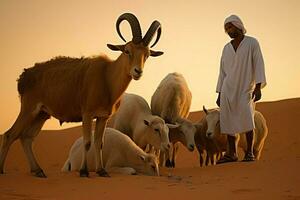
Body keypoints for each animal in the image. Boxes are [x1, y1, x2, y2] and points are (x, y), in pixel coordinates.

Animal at [0, 12, 164, 178]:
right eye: (127, 50)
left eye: (147, 55)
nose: (138, 72)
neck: (106, 76)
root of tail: (24, 76)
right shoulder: (87, 114)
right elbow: (87, 142)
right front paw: (84, 171)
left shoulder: (102, 117)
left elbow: (99, 143)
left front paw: (101, 171)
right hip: (29, 110)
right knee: (9, 135)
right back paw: (3, 170)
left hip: (41, 115)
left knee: (26, 138)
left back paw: (38, 171)